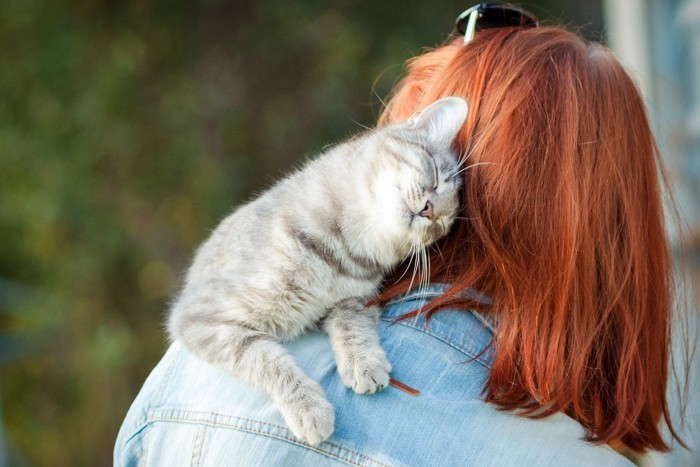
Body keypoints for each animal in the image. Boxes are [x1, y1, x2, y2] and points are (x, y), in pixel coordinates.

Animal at [167, 96, 468, 446]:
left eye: (442, 227)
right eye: (436, 174)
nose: (431, 212)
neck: (340, 249)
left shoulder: (358, 297)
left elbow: (351, 321)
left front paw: (363, 361)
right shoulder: (201, 318)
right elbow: (267, 360)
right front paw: (308, 408)